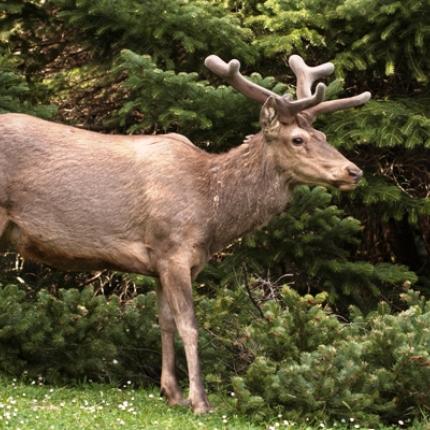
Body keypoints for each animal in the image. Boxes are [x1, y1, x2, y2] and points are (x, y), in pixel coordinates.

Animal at [0, 54, 372, 414]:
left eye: (323, 137)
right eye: (297, 139)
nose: (354, 171)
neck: (212, 211)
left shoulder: (162, 262)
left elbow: (164, 321)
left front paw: (172, 393)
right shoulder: (173, 249)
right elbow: (189, 324)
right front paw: (200, 401)